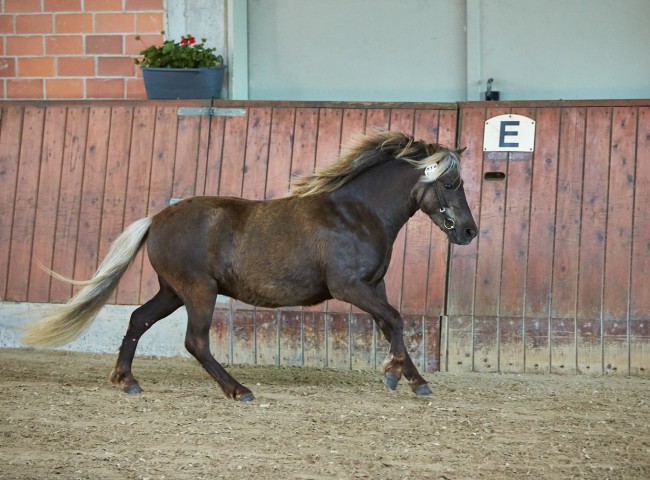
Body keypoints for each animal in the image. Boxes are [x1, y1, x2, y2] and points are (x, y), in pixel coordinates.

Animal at [22, 130, 478, 402]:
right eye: (451, 184)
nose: (470, 231)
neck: (356, 213)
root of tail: (156, 219)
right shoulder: (350, 287)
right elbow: (397, 320)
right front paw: (393, 374)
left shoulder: (374, 286)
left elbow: (390, 324)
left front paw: (415, 380)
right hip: (199, 291)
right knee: (196, 342)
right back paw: (238, 390)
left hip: (172, 291)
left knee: (138, 320)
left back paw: (127, 380)